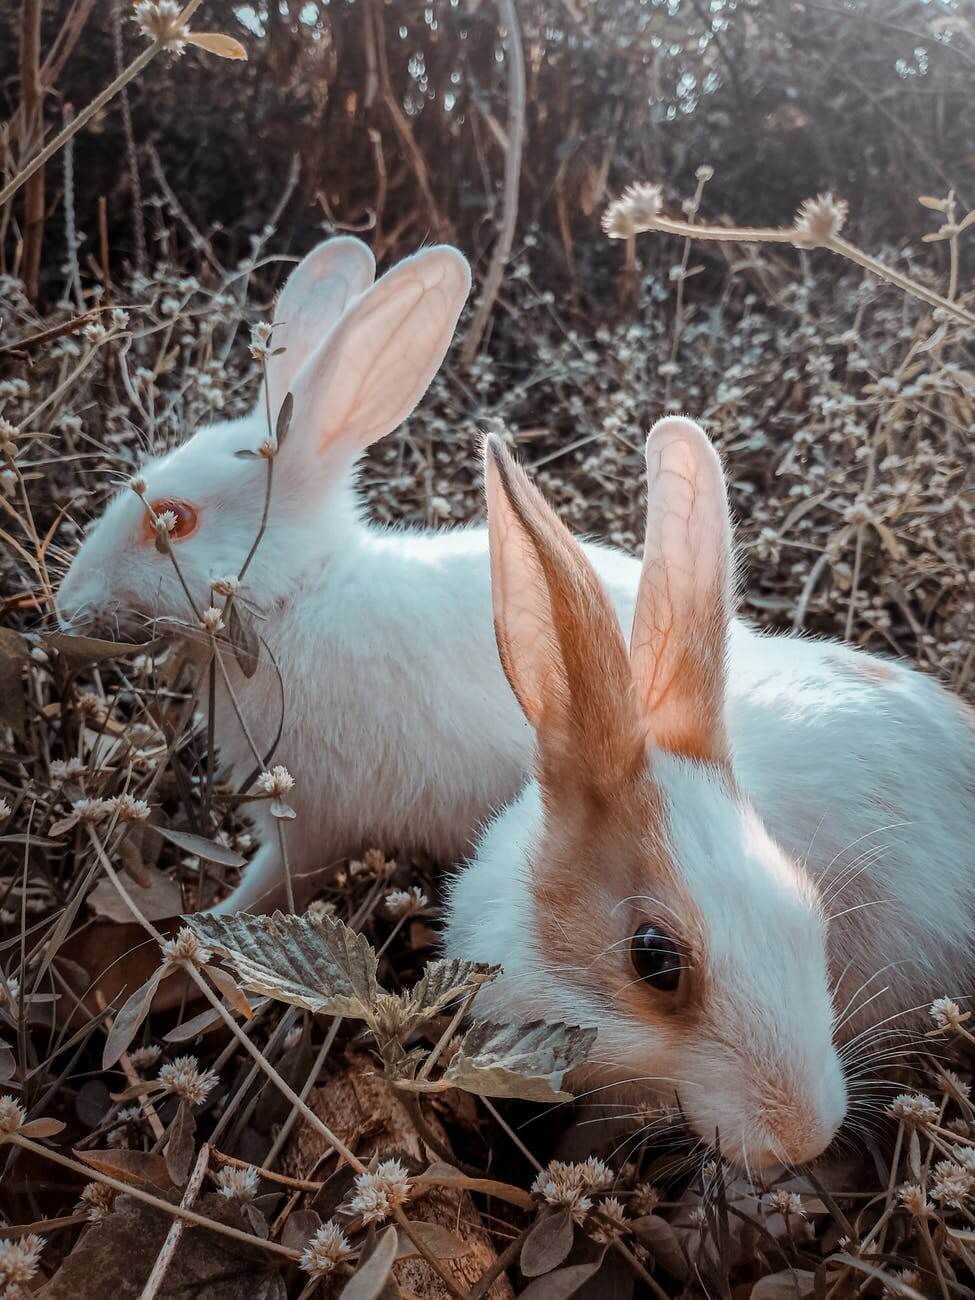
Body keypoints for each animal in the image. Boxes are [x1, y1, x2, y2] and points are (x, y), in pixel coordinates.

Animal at [55, 237, 642, 915]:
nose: (65, 604)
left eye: (175, 522)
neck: (300, 592)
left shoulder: (313, 820)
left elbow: (275, 881)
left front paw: (206, 924)